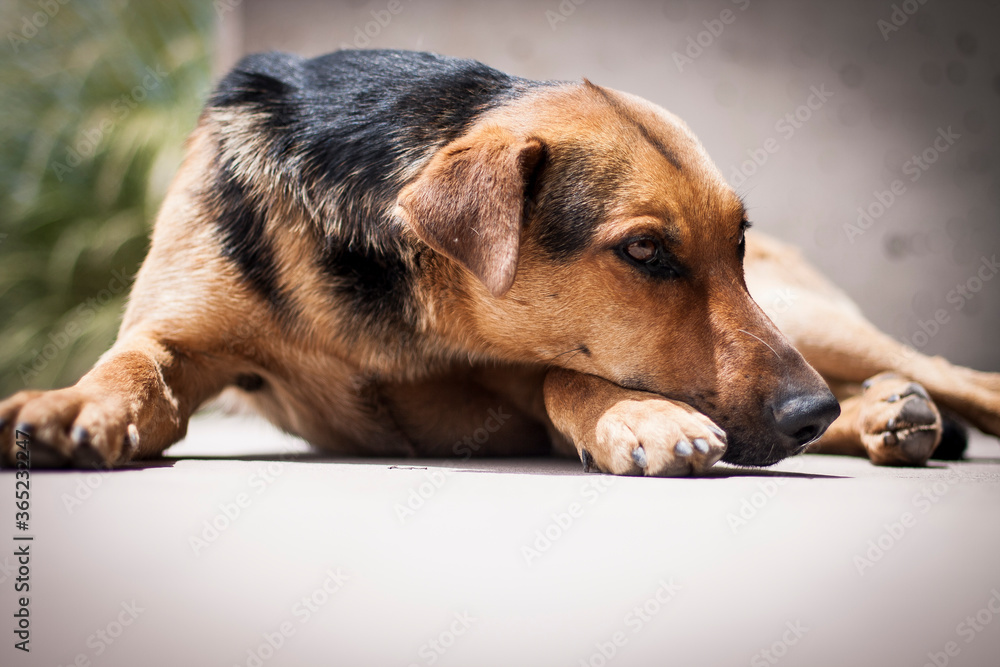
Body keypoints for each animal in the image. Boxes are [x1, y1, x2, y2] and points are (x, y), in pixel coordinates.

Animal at [2, 49, 998, 475]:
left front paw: (637, 416)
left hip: (812, 323)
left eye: (738, 243)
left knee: (954, 375)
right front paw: (72, 403)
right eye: (644, 250)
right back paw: (884, 417)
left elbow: (567, 377)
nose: (806, 413)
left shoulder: (527, 370)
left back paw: (889, 406)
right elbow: (134, 362)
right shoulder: (179, 333)